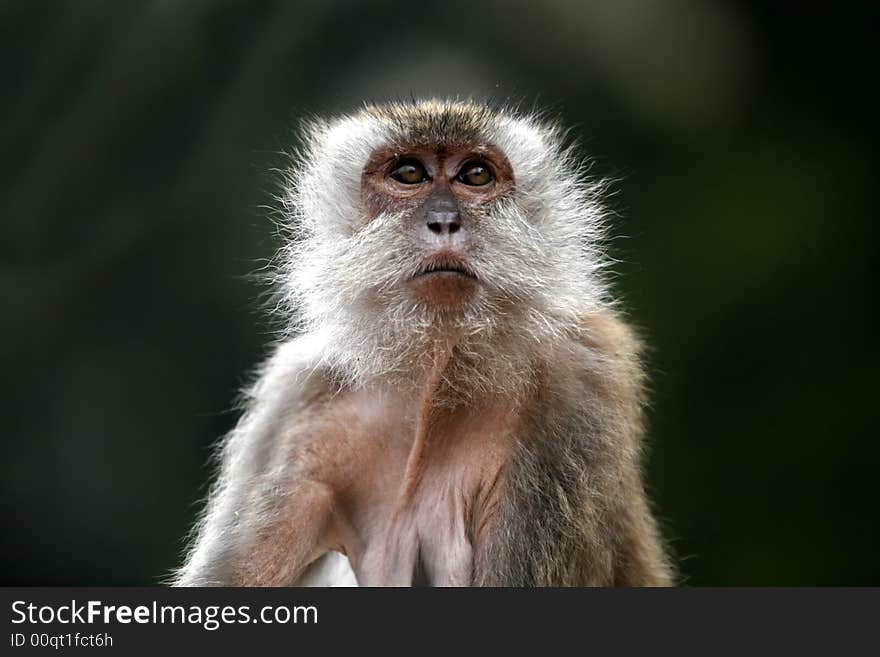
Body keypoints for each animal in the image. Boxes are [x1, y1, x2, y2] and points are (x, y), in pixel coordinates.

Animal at [172, 98, 672, 588]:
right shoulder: (301, 403)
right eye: (410, 173)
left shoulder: (579, 380)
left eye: (475, 175)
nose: (445, 221)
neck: (438, 368)